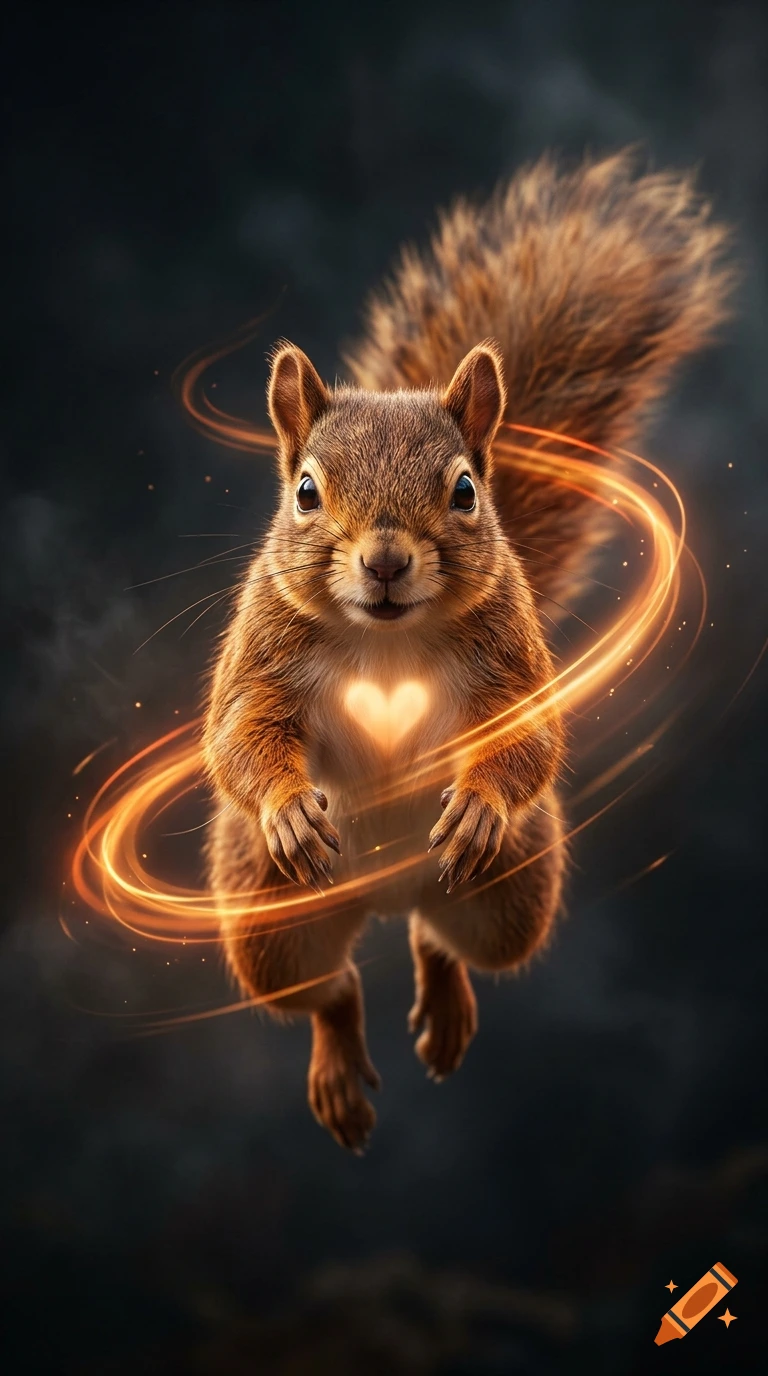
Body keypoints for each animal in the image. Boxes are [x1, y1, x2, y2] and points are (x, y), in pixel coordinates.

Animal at [204, 149, 732, 1153]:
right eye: (304, 491)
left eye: (462, 491)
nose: (384, 561)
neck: (386, 643)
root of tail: (387, 895)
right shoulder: (261, 652)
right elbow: (238, 737)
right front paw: (288, 807)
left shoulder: (510, 657)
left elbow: (528, 738)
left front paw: (482, 802)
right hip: (268, 921)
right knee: (328, 989)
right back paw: (338, 1062)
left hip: (514, 900)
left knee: (442, 943)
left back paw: (444, 996)